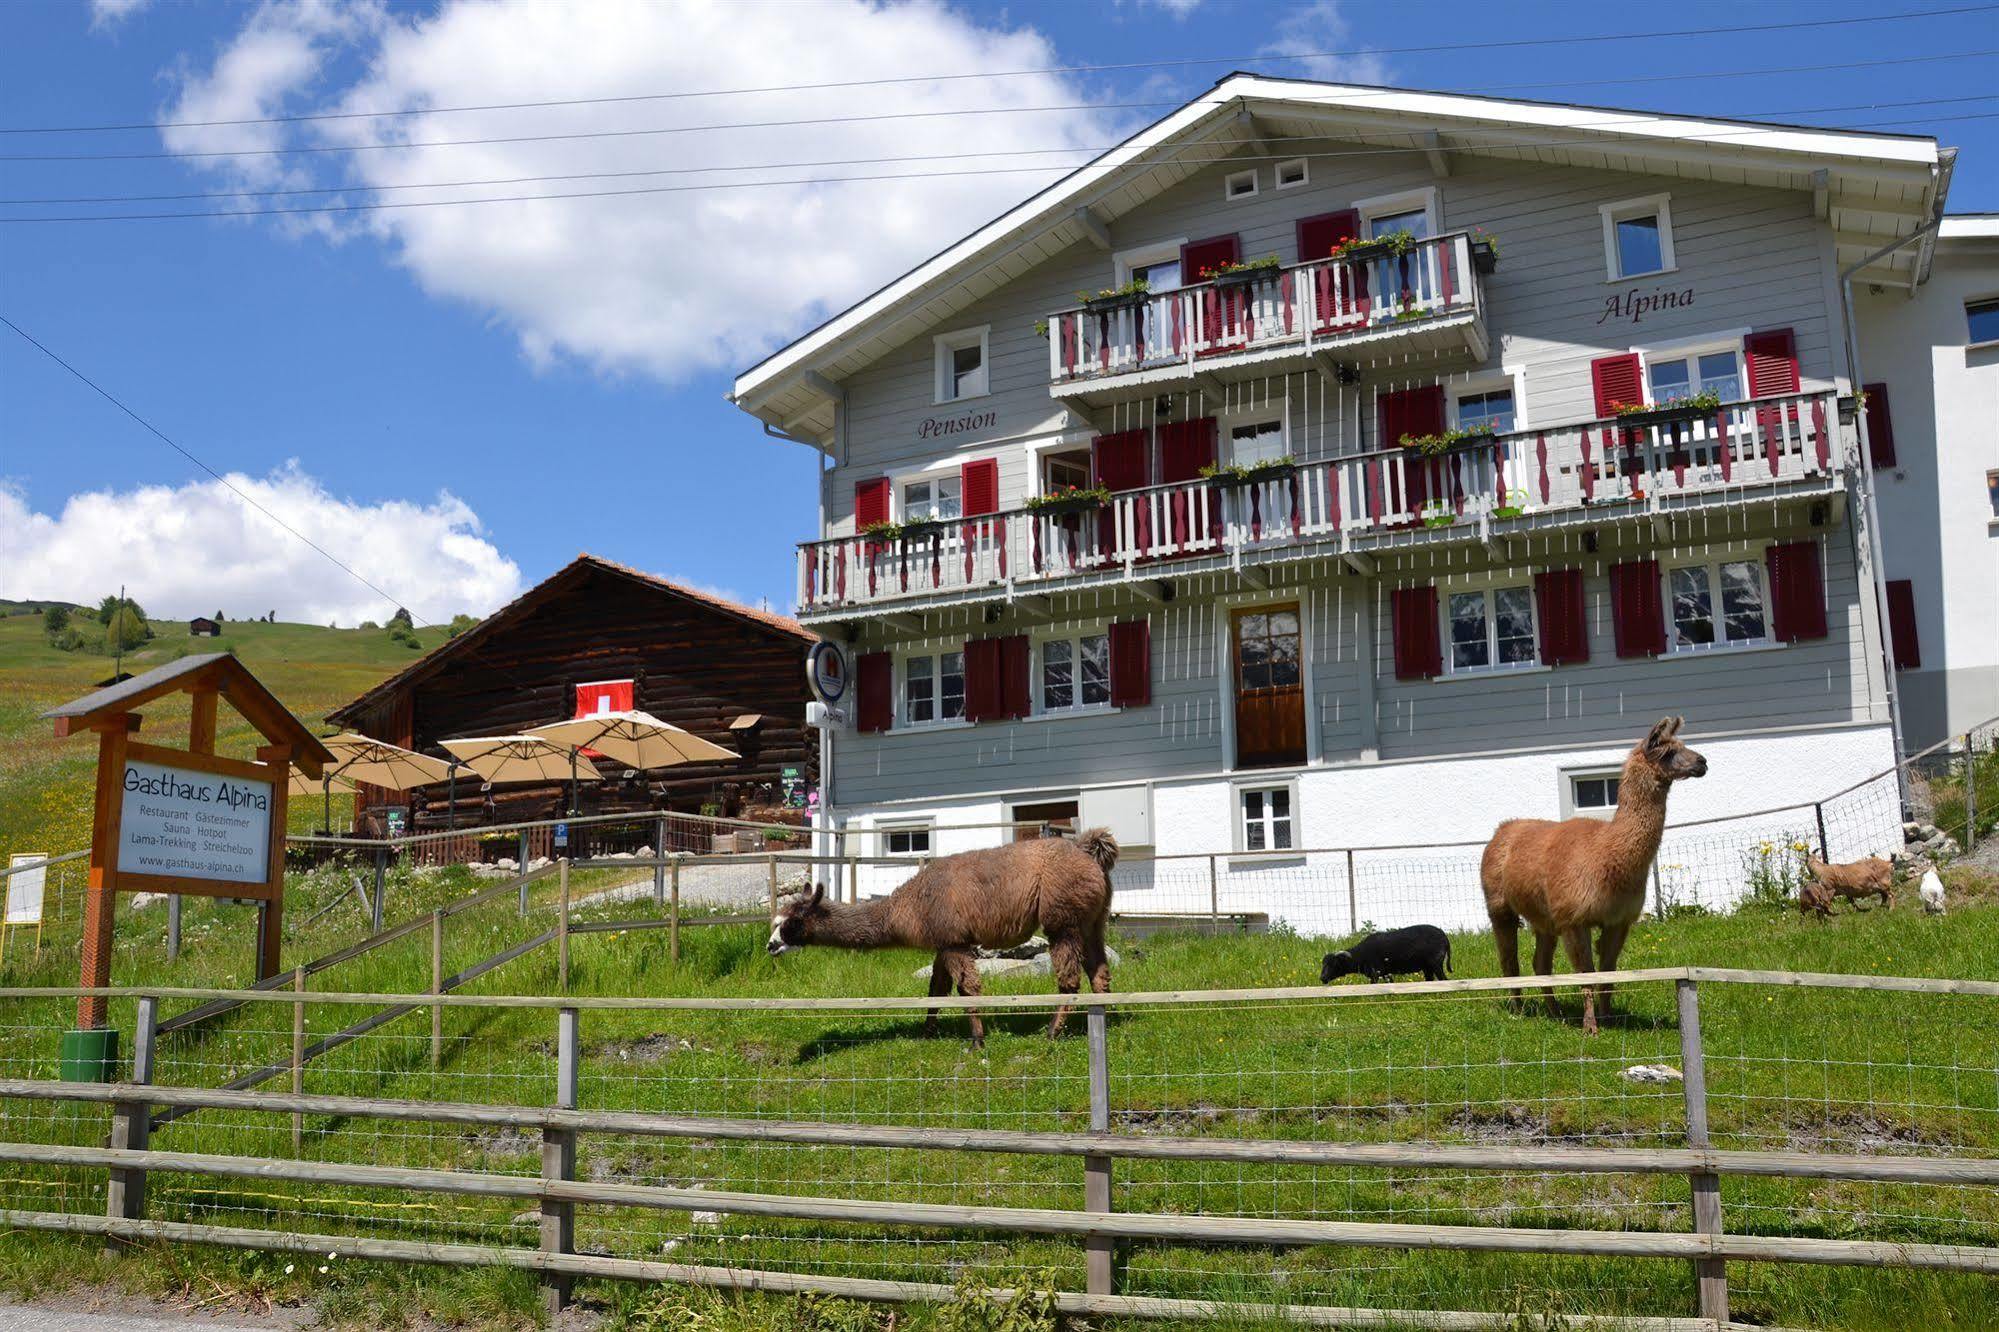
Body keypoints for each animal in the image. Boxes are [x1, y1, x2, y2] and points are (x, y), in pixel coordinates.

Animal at [763, 832, 1119, 1040]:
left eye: (792, 922)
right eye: (775, 922)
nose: (770, 945)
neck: (908, 906)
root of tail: (1086, 851)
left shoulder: (954, 940)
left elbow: (966, 988)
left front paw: (977, 1040)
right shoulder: (943, 942)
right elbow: (936, 988)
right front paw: (927, 1031)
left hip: (1063, 919)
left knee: (1070, 978)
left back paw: (1052, 1032)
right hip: (1092, 919)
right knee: (1099, 971)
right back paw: (1106, 1017)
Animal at [1319, 928, 1447, 980]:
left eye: (1334, 964)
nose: (1322, 978)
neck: (1360, 956)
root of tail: (1445, 937)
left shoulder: (1376, 973)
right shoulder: (1385, 974)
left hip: (1435, 963)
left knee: (1444, 980)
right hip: (1427, 967)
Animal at [1479, 716, 1711, 1040]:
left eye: (1683, 745)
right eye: (1668, 752)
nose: (1702, 762)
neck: (1605, 855)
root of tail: (1502, 829)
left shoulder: (1618, 919)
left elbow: (1609, 971)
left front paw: (1608, 1017)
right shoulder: (1574, 918)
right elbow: (1586, 973)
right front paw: (1591, 1027)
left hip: (1545, 917)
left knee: (1541, 964)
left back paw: (1556, 1013)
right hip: (1499, 904)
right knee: (1509, 959)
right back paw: (1517, 1009)